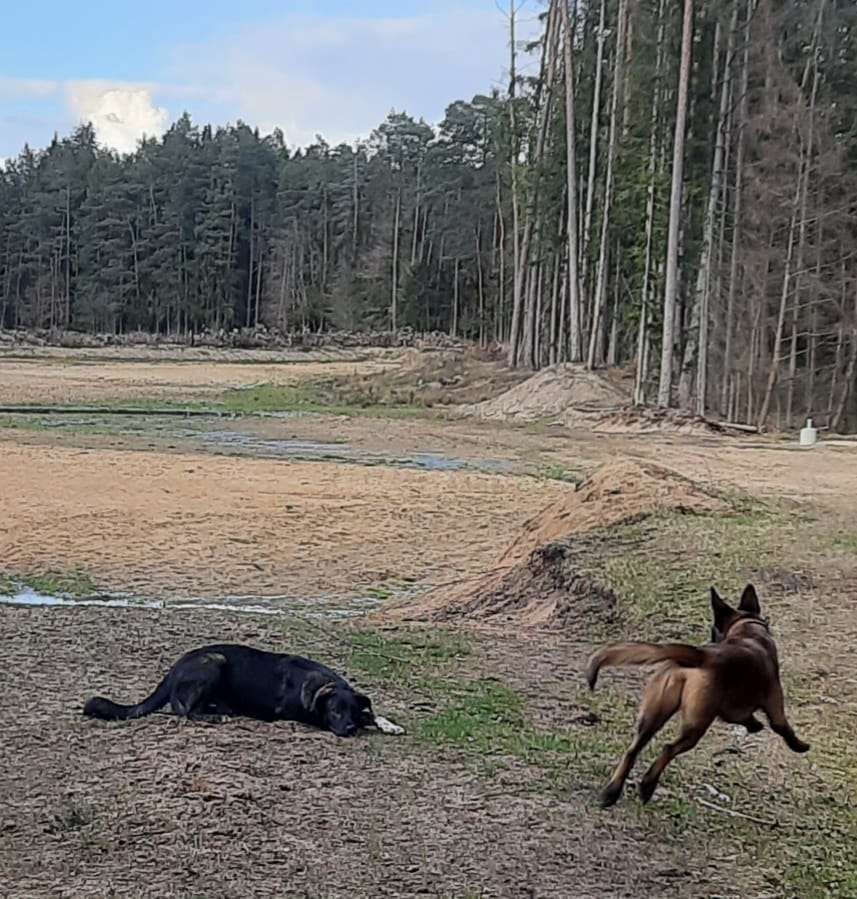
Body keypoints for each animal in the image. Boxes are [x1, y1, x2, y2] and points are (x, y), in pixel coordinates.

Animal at [86, 648, 404, 740]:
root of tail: (174, 669)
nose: (349, 729)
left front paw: (389, 724)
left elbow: (372, 714)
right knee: (182, 710)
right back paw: (213, 717)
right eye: (335, 711)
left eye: (351, 711)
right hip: (214, 661)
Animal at [584, 584, 804, 808]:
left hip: (654, 714)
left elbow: (743, 717)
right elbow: (781, 726)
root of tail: (702, 656)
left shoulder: (731, 710)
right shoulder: (774, 699)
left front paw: (754, 725)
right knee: (668, 749)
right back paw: (647, 786)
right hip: (696, 725)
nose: (711, 637)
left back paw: (611, 792)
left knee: (633, 750)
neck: (748, 631)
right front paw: (799, 745)